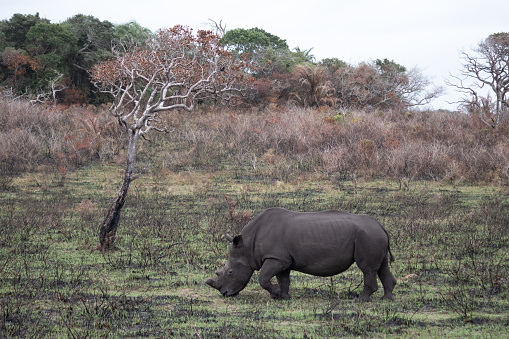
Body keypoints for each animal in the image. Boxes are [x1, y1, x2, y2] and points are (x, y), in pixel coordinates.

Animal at [204, 209, 394, 302]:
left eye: (230, 272)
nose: (225, 293)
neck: (247, 245)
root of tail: (381, 226)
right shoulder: (282, 259)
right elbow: (283, 279)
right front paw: (282, 297)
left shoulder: (275, 258)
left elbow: (263, 278)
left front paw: (276, 293)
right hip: (372, 235)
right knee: (382, 266)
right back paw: (386, 299)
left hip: (367, 236)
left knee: (367, 268)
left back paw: (361, 300)